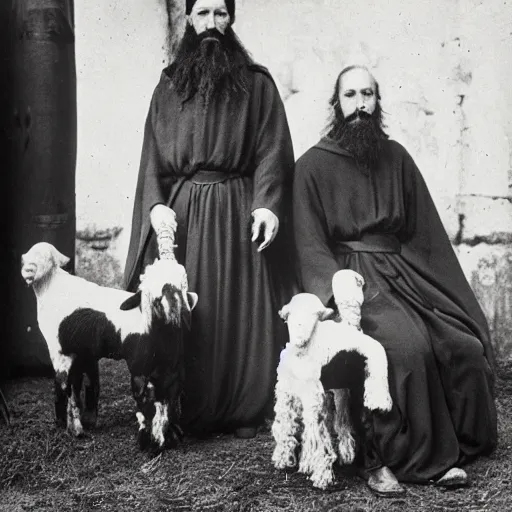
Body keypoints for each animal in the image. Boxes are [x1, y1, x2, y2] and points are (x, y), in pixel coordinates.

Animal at [20, 241, 196, 452]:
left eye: (43, 259)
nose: (28, 272)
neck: (52, 287)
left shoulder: (60, 353)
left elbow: (64, 385)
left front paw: (74, 429)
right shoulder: (84, 354)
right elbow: (88, 382)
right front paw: (83, 421)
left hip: (141, 368)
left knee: (147, 400)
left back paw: (148, 443)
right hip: (172, 366)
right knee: (169, 395)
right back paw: (171, 437)